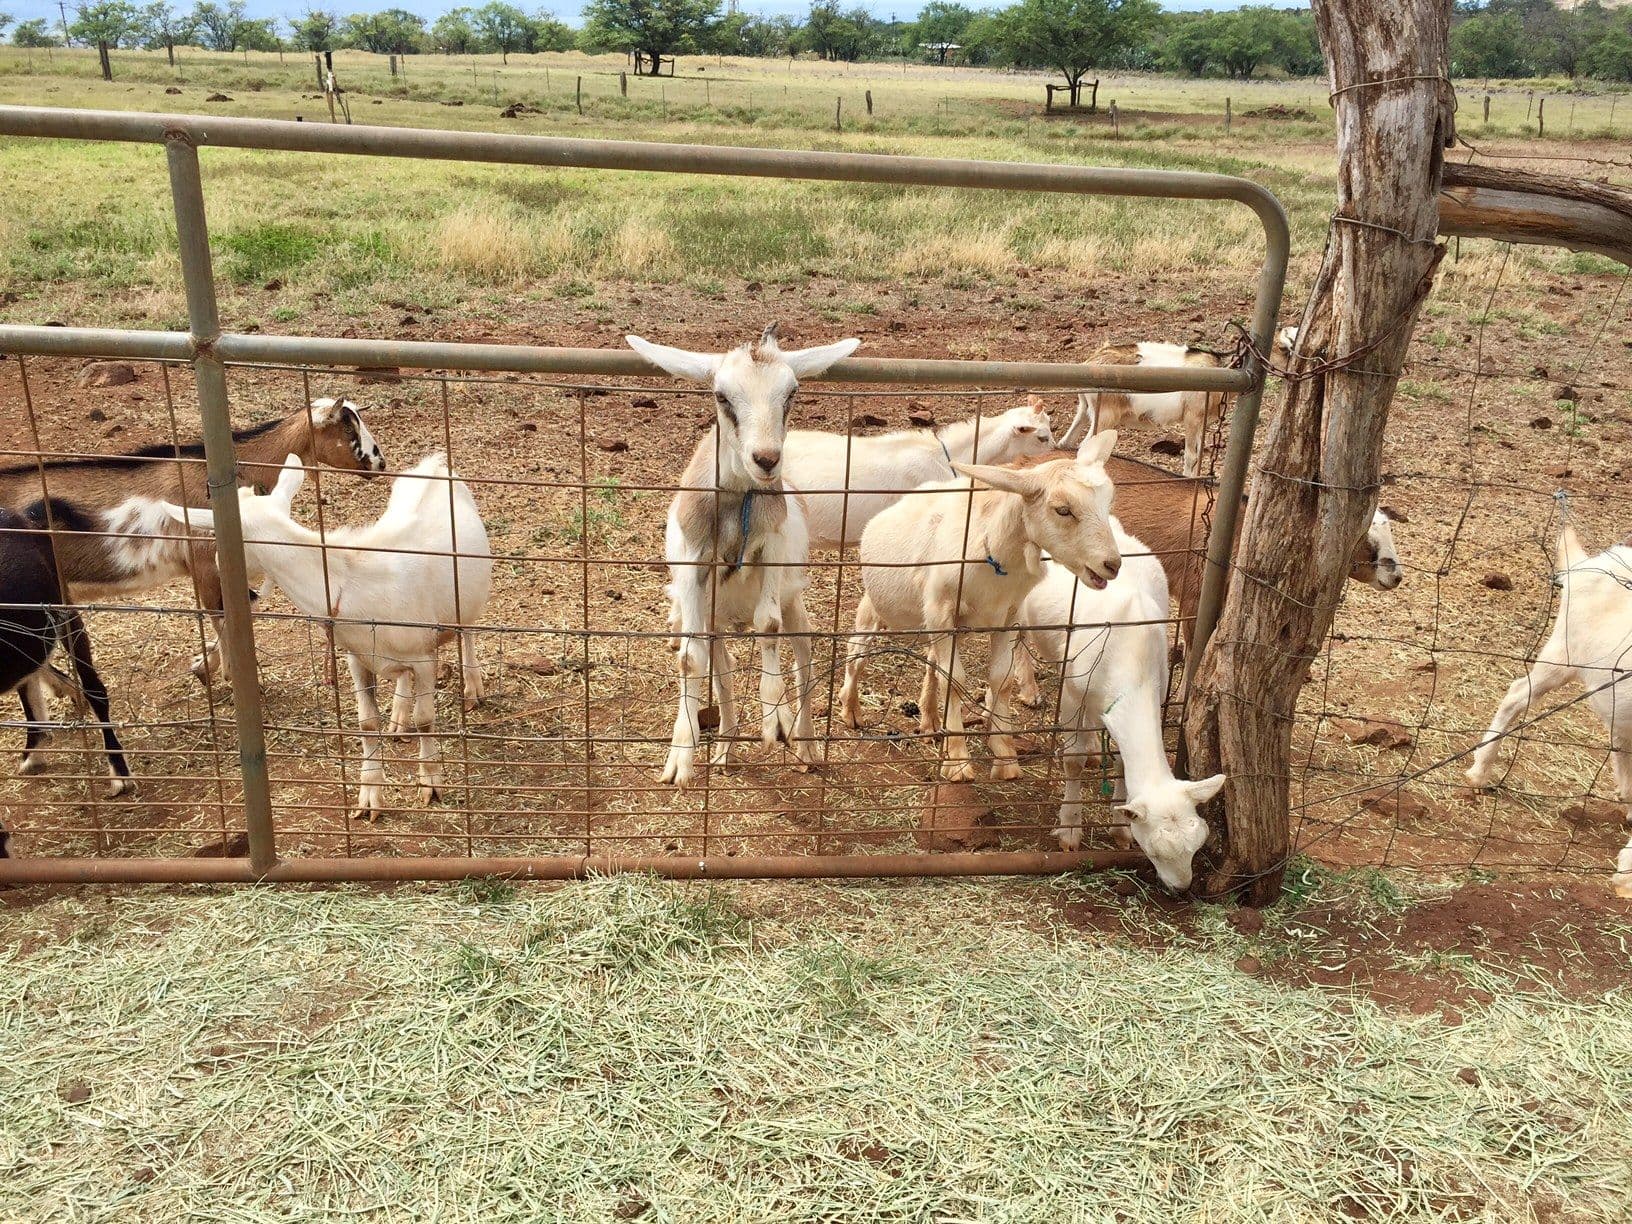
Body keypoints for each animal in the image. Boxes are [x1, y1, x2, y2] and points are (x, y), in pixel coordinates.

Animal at [0, 398, 386, 685]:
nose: (380, 463)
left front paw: (204, 665)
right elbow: (223, 616)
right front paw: (228, 675)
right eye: (348, 428)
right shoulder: (206, 563)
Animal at [163, 452, 490, 820]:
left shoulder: (422, 656)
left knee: (468, 632)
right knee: (401, 678)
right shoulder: (357, 657)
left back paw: (472, 688)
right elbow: (366, 722)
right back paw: (398, 716)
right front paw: (369, 796)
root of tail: (434, 464)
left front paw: (430, 784)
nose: (219, 566)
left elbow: (426, 720)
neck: (348, 580)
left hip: (467, 600)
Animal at [630, 325, 860, 789]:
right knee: (724, 672)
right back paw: (725, 748)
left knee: (801, 660)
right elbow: (690, 659)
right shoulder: (692, 567)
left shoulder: (771, 548)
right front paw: (681, 757)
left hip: (794, 605)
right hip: (715, 620)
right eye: (722, 395)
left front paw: (773, 719)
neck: (738, 509)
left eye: (792, 392)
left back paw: (803, 742)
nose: (767, 460)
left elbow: (767, 626)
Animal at [836, 432, 1122, 782]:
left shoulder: (1007, 615)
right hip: (877, 605)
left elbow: (1000, 679)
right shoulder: (941, 609)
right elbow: (954, 679)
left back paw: (930, 721)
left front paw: (1005, 756)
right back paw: (851, 710)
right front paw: (958, 762)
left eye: (1108, 502)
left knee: (931, 661)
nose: (1112, 564)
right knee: (858, 652)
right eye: (1063, 510)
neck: (993, 554)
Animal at [1022, 518, 1223, 889]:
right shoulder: (1073, 692)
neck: (1134, 659)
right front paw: (1069, 830)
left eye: (1196, 844)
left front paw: (1119, 829)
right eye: (1155, 851)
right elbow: (1072, 760)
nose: (1181, 887)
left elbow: (1118, 761)